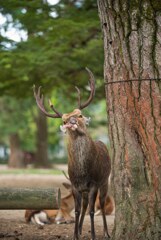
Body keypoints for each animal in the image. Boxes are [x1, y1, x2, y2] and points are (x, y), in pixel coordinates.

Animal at [33, 68, 112, 240]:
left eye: (80, 115)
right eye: (63, 121)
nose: (72, 121)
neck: (83, 172)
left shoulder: (94, 183)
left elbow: (92, 210)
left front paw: (93, 235)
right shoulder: (76, 185)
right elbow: (76, 210)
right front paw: (75, 234)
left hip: (105, 181)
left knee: (102, 204)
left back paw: (106, 232)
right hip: (85, 190)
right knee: (83, 206)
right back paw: (81, 229)